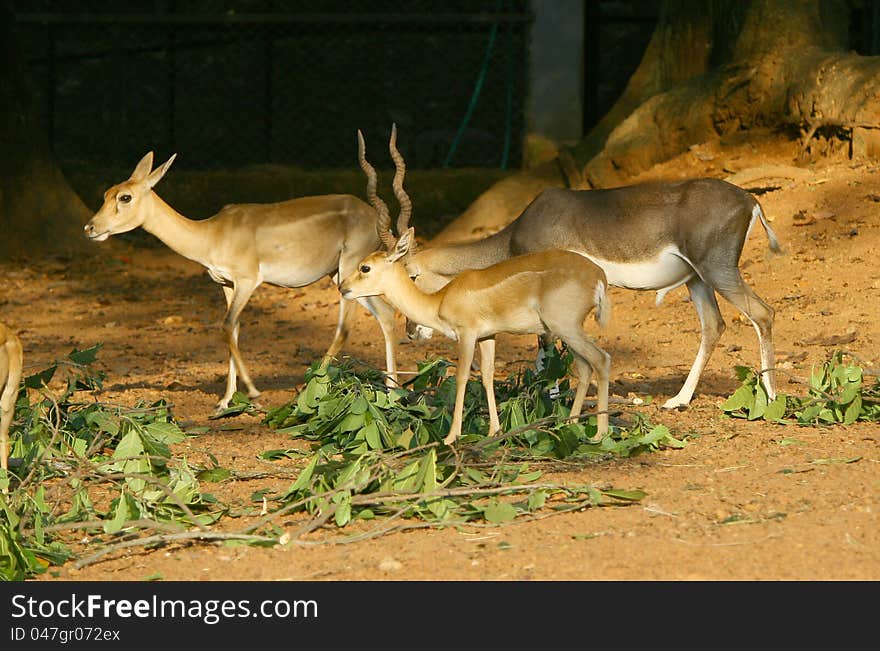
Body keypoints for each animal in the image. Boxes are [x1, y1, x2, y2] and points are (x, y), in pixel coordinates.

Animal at [82, 152, 398, 412]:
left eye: (125, 197)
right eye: (106, 193)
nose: (90, 228)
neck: (211, 234)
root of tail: (376, 217)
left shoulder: (248, 281)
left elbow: (226, 326)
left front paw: (255, 394)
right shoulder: (226, 285)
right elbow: (233, 331)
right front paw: (224, 401)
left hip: (348, 272)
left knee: (345, 329)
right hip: (347, 278)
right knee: (386, 316)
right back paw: (392, 392)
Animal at [398, 169, 776, 408]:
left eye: (412, 275)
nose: (412, 331)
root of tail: (750, 200)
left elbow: (546, 345)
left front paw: (549, 401)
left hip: (717, 271)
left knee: (763, 313)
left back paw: (771, 397)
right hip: (696, 280)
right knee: (714, 325)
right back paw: (678, 401)